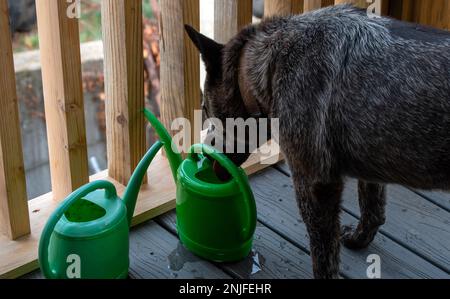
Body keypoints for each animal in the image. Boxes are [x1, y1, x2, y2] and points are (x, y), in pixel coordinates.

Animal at [185, 4, 448, 280]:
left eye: (205, 109)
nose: (206, 153)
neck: (271, 61)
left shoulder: (314, 184)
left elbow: (323, 257)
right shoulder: (372, 162)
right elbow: (372, 207)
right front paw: (360, 238)